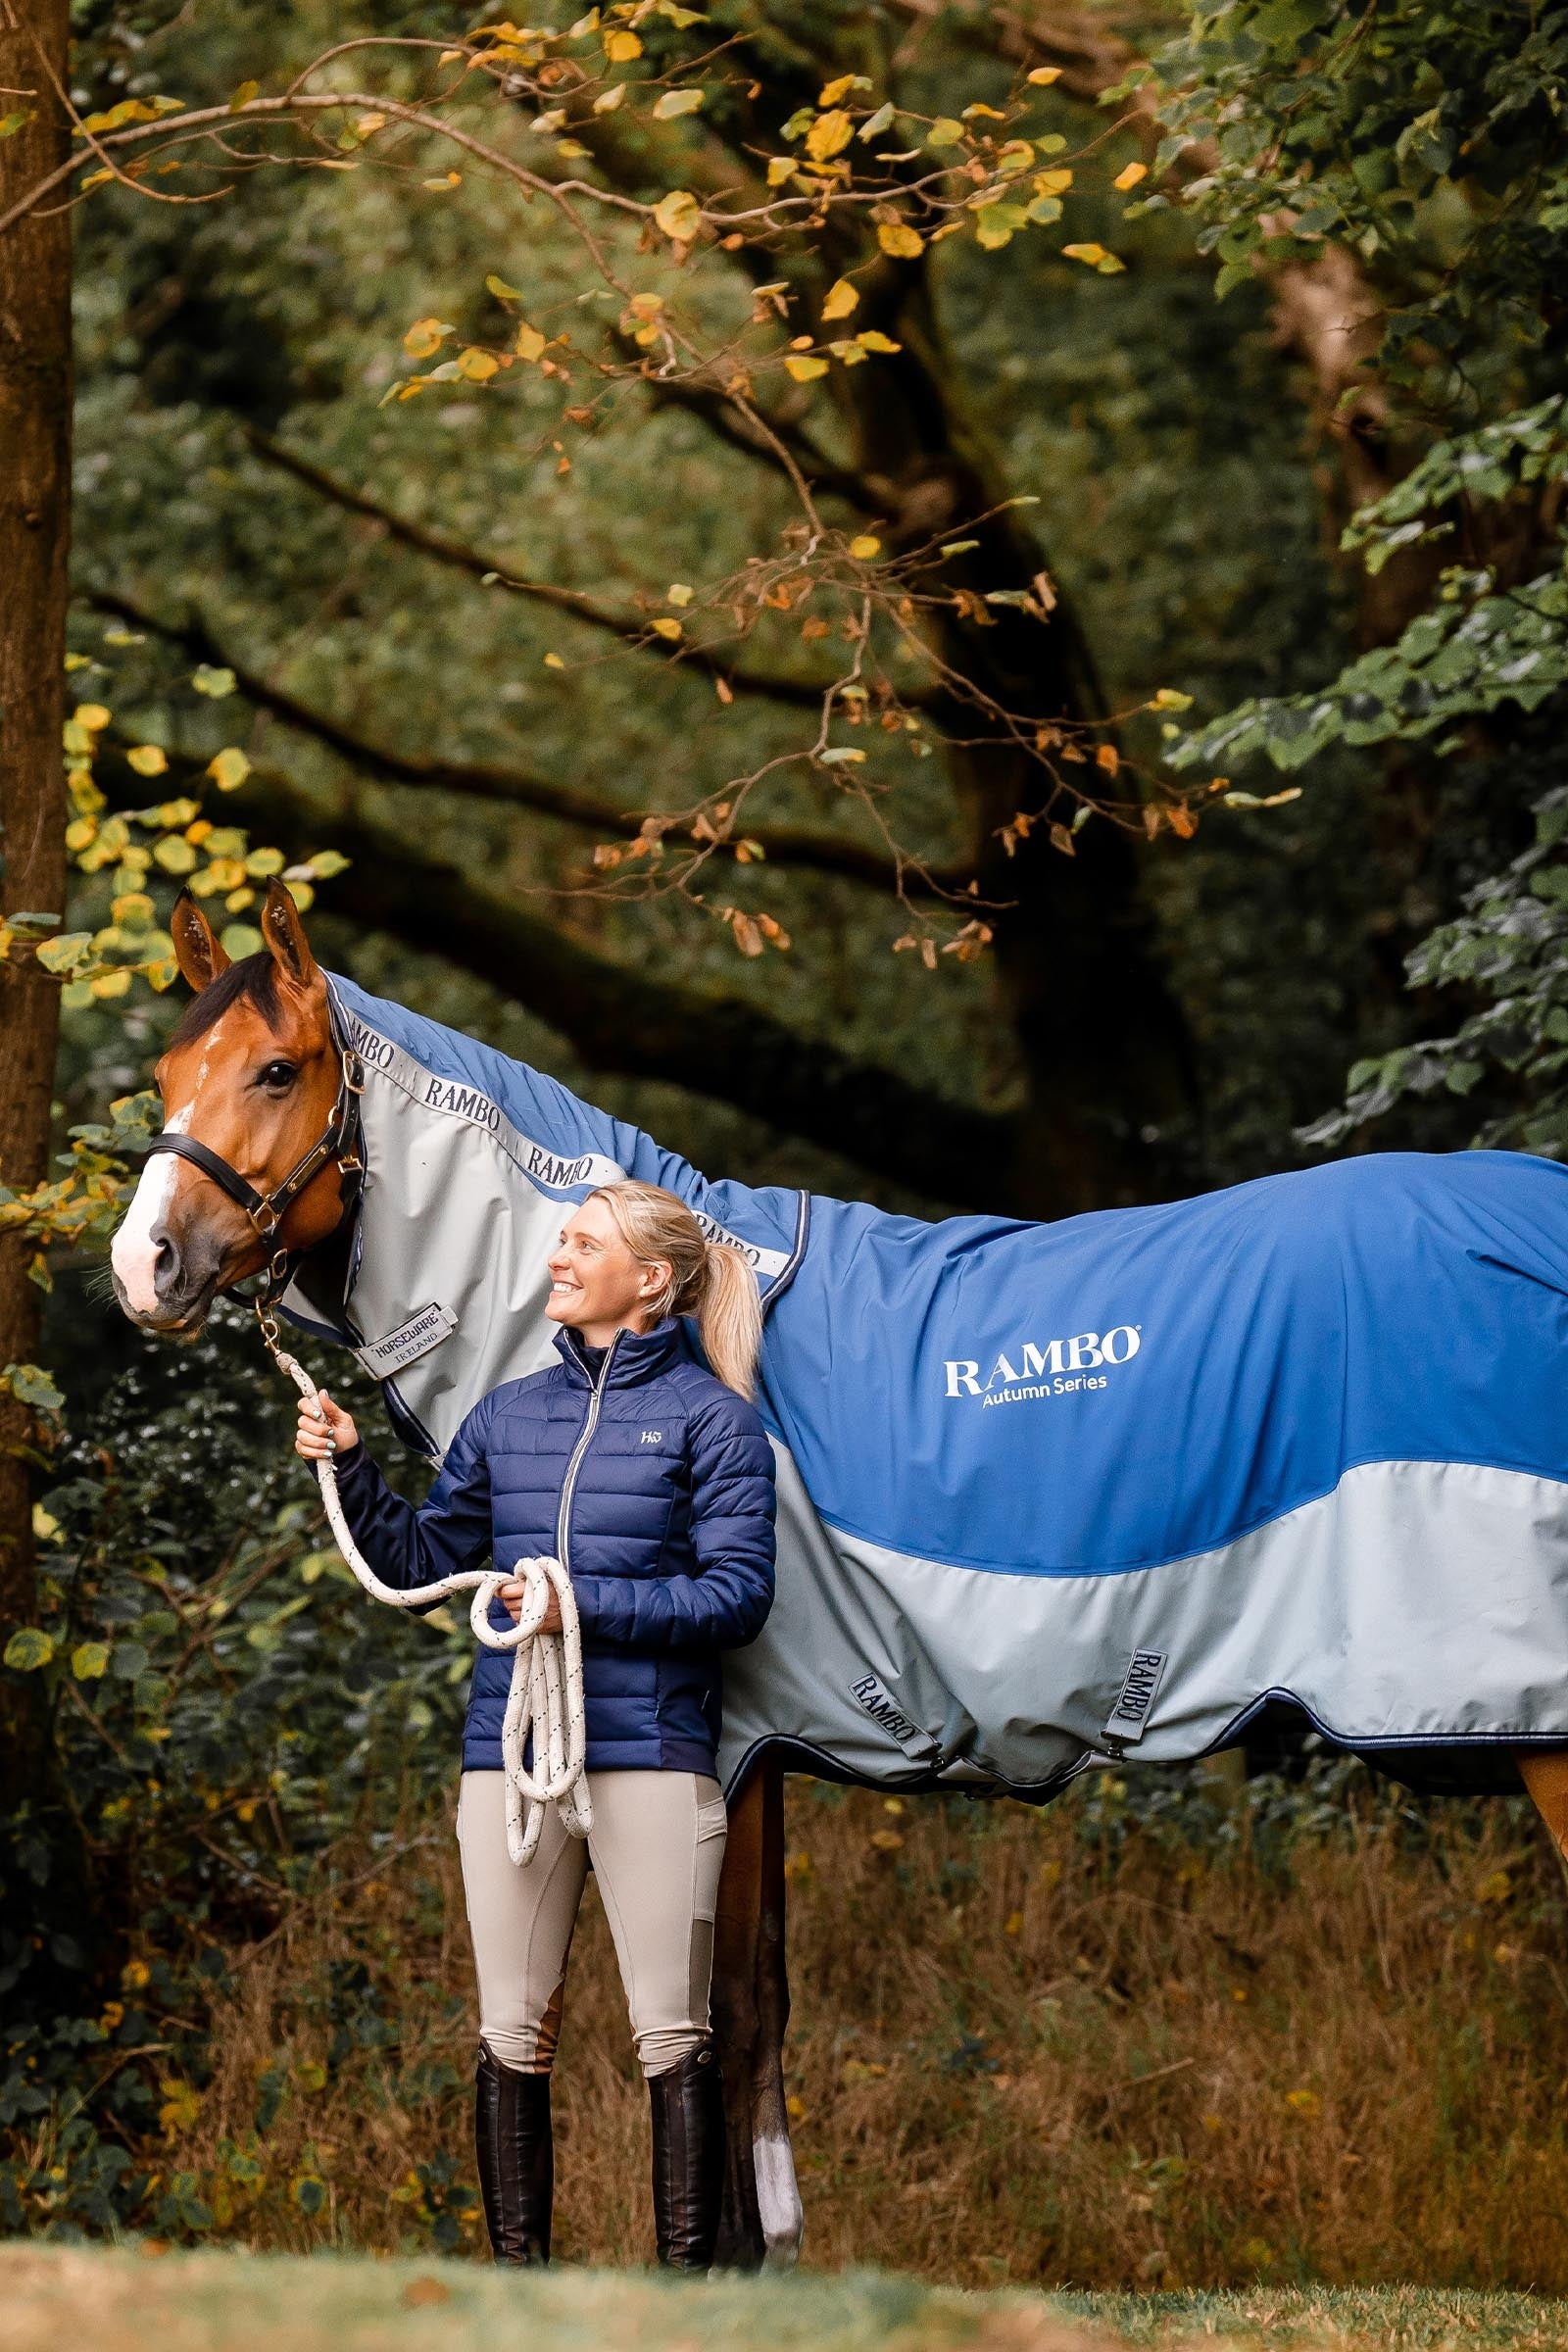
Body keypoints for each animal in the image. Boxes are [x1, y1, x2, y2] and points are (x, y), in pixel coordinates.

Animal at [110, 876, 1568, 2267]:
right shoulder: (767, 1753)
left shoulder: (724, 1742)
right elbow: (754, 2010)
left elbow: (723, 2013)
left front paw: (717, 2267)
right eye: (171, 1072)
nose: (143, 1265)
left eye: (277, 1070)